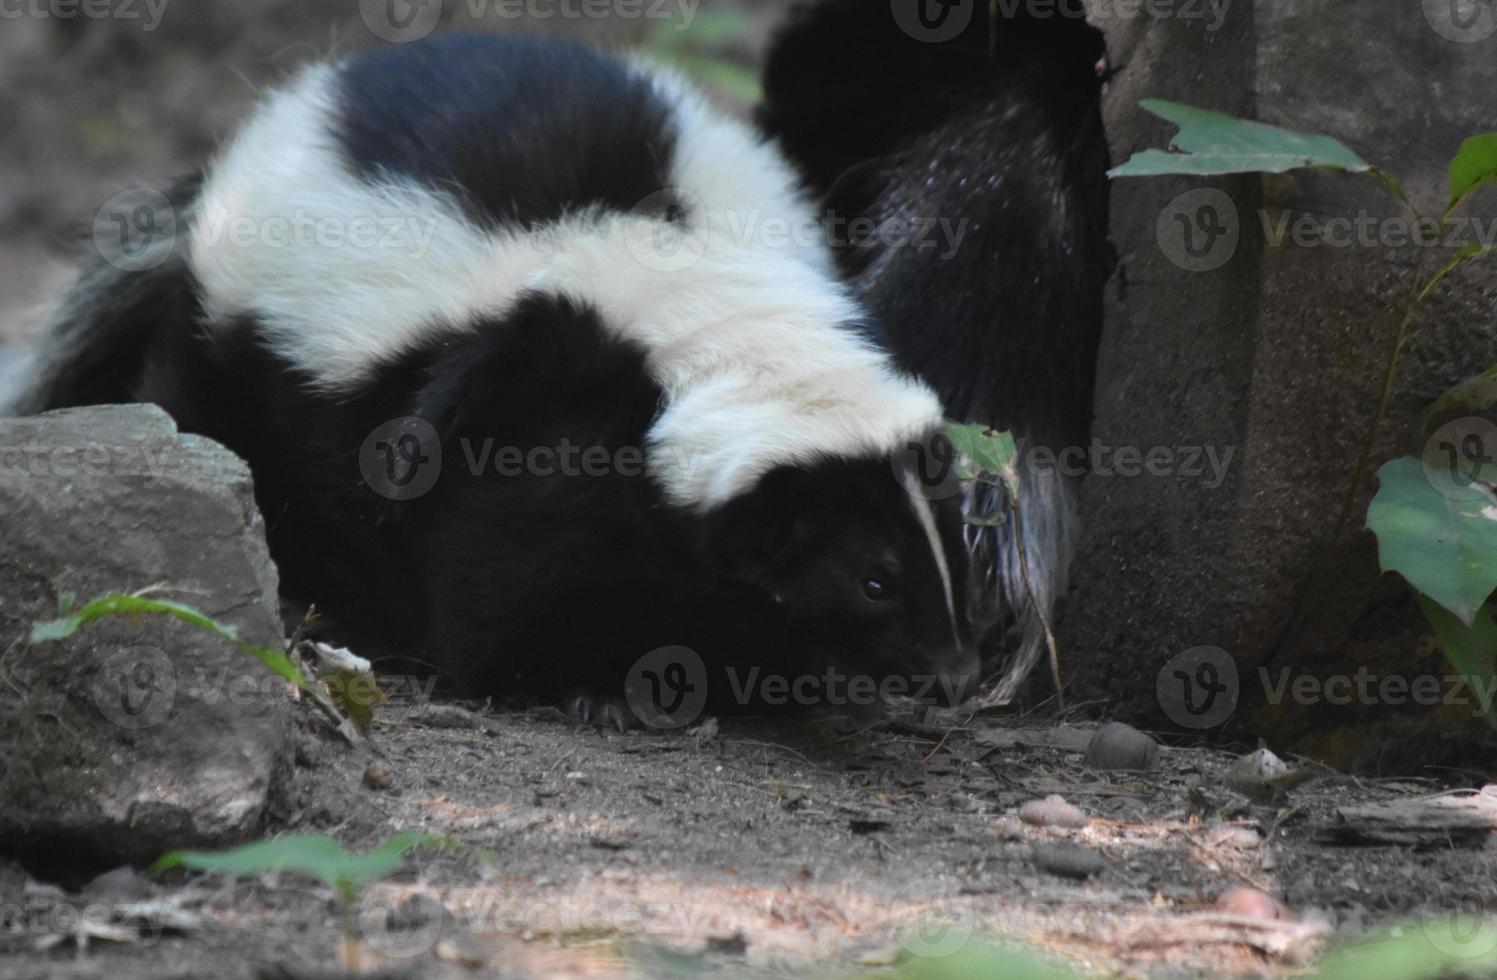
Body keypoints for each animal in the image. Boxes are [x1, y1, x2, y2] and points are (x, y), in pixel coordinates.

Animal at [14, 32, 982, 712]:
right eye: (873, 578)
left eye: (952, 552)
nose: (955, 674)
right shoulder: (527, 411)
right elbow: (496, 563)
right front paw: (580, 686)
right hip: (227, 345)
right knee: (216, 425)